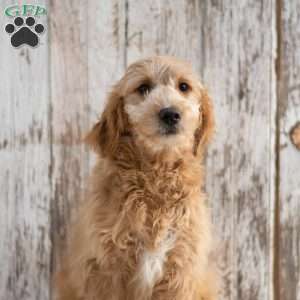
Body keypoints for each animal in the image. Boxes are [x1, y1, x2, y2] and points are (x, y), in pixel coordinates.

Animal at [55, 56, 217, 300]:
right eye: (143, 88)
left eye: (184, 87)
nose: (170, 114)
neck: (156, 174)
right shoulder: (106, 270)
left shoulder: (181, 270)